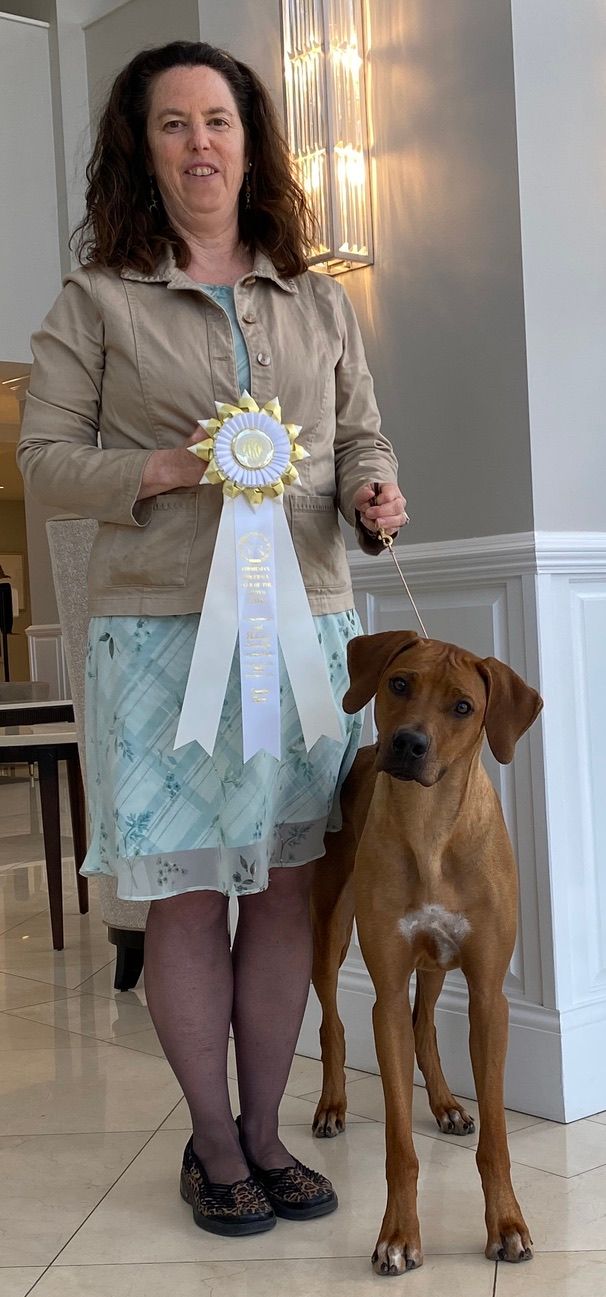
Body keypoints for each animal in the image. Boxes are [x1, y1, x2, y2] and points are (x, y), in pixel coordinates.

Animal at [310, 630, 543, 1276]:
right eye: (398, 683)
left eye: (463, 707)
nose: (408, 743)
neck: (431, 826)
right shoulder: (386, 990)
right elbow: (399, 1146)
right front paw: (398, 1235)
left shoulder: (489, 994)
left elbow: (496, 1141)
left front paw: (507, 1225)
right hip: (329, 928)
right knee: (332, 1021)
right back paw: (332, 1104)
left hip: (438, 960)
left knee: (425, 1024)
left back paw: (445, 1105)